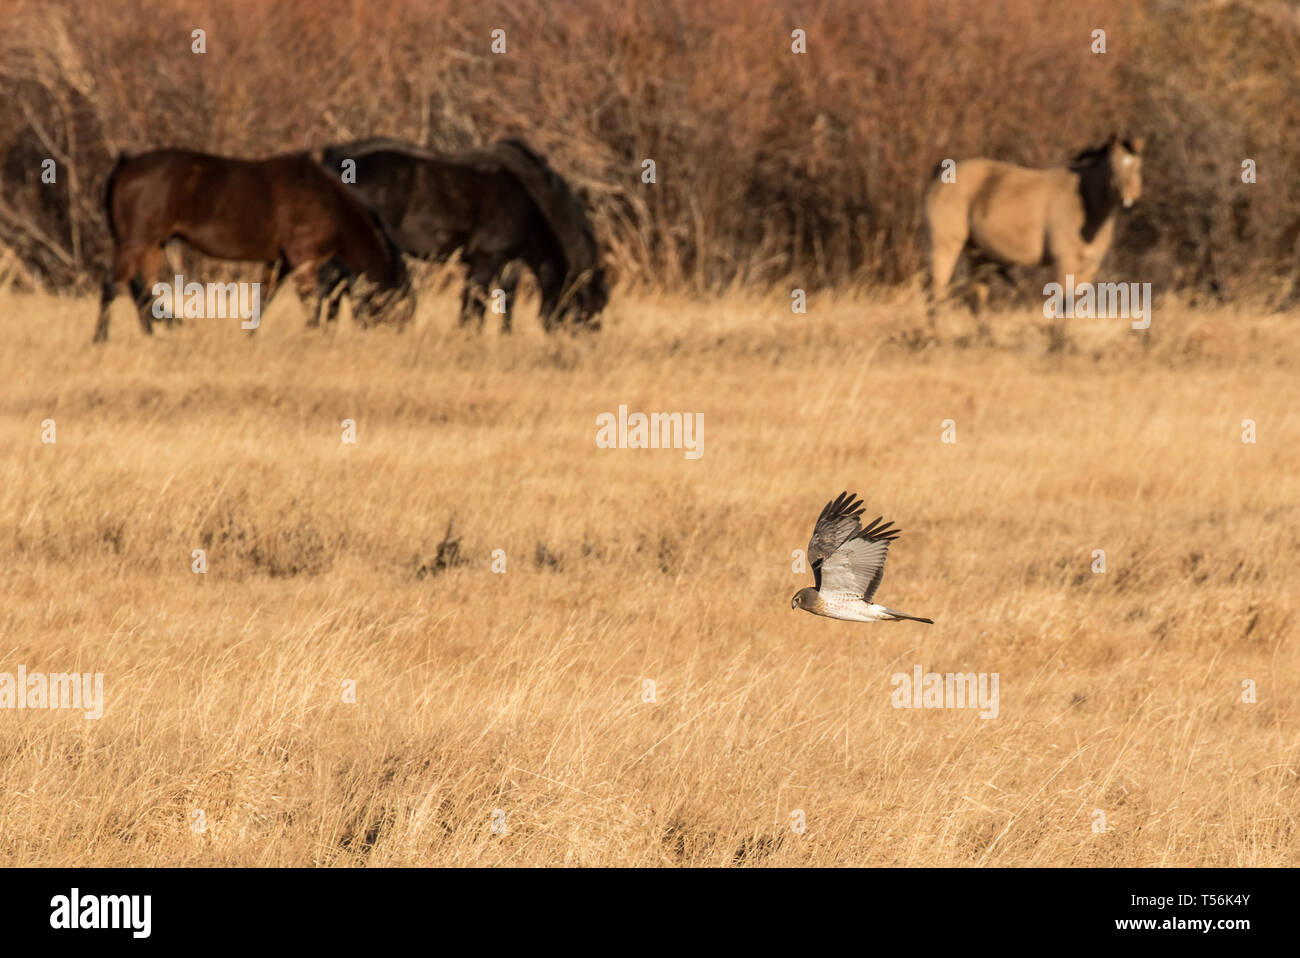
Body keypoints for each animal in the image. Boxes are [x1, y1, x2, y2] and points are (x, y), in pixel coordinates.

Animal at [94, 147, 408, 343]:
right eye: (397, 303)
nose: (397, 336)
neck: (329, 203)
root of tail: (126, 165)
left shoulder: (280, 261)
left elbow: (265, 300)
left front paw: (251, 335)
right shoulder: (303, 258)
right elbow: (309, 302)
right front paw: (314, 335)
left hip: (152, 244)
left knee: (143, 290)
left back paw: (156, 333)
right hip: (137, 242)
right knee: (113, 285)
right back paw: (101, 338)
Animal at [322, 136, 611, 332]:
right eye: (594, 307)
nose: (587, 349)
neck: (530, 197)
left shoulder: (506, 260)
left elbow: (507, 297)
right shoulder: (486, 259)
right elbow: (474, 306)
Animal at [925, 133, 1149, 314]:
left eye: (1138, 167)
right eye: (1114, 168)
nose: (1131, 202)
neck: (1084, 204)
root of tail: (941, 174)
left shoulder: (1089, 267)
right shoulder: (1064, 263)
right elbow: (1062, 307)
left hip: (978, 255)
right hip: (945, 246)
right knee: (937, 289)